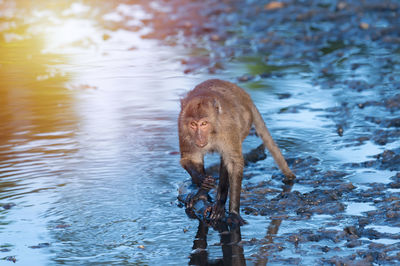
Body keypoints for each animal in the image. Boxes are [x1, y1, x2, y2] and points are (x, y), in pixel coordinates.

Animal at [178, 78, 294, 224]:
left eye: (204, 123)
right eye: (193, 124)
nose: (199, 137)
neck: (212, 133)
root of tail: (244, 94)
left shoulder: (227, 127)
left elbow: (233, 163)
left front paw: (233, 213)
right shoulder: (183, 127)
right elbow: (189, 158)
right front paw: (202, 182)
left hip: (245, 124)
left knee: (226, 160)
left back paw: (220, 203)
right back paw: (202, 195)